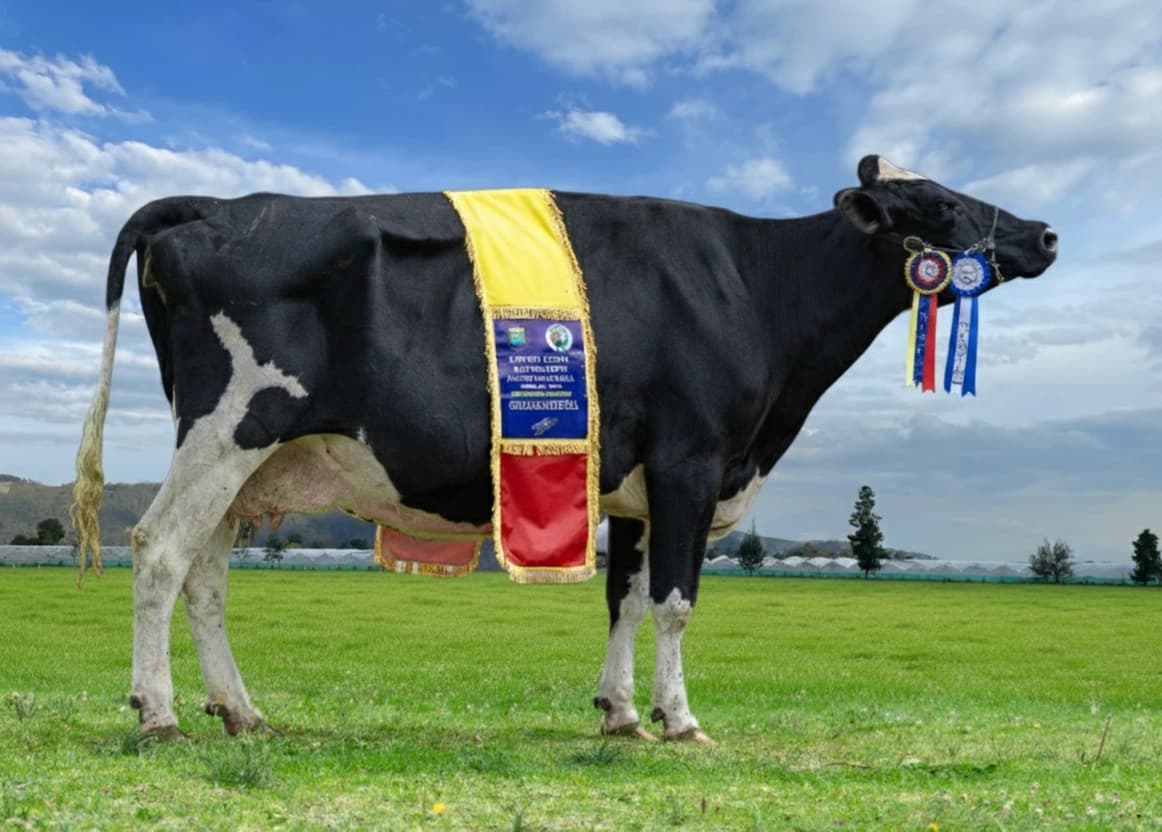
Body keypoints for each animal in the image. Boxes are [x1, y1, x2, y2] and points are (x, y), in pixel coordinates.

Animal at [71, 155, 1058, 743]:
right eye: (938, 204)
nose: (1045, 233)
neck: (756, 289)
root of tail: (218, 204)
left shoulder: (633, 488)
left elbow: (624, 601)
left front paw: (619, 713)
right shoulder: (691, 462)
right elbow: (675, 603)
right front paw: (680, 720)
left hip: (251, 457)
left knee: (206, 575)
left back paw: (240, 711)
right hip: (229, 425)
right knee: (158, 550)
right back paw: (158, 714)